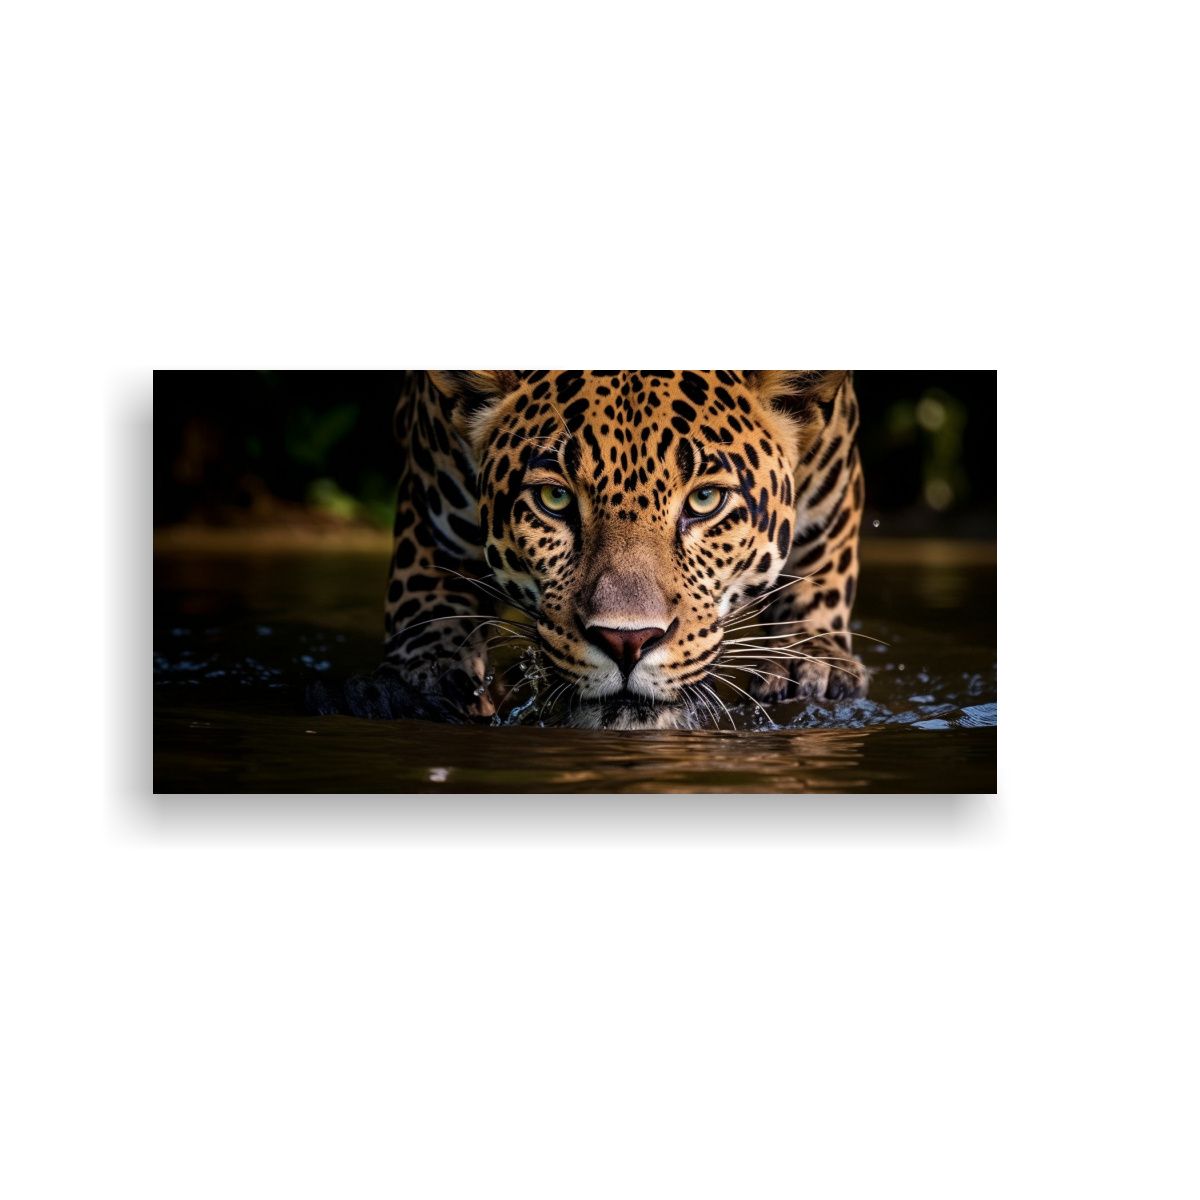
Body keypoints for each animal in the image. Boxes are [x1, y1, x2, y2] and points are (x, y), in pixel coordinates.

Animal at [313, 370, 868, 729]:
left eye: (705, 500)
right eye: (555, 499)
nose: (628, 642)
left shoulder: (834, 487)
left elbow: (819, 577)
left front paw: (809, 666)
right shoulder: (432, 506)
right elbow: (425, 598)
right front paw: (422, 676)